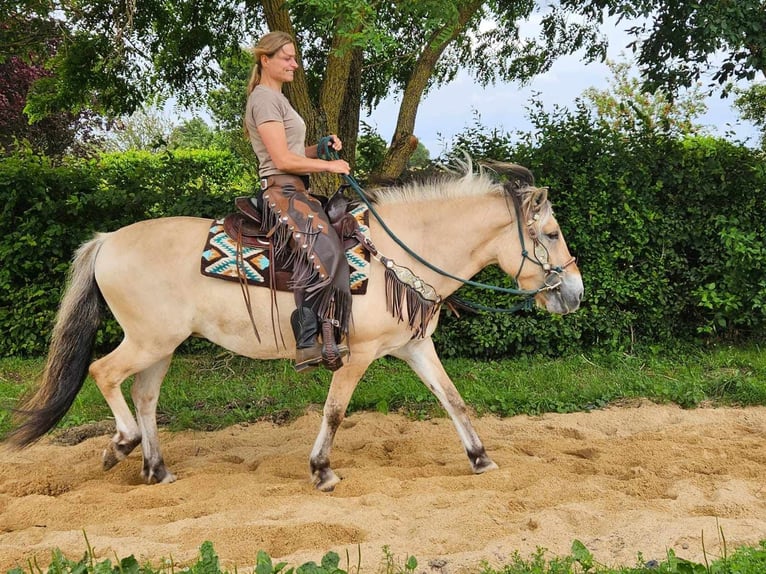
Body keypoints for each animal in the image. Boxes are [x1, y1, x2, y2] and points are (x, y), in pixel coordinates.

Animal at [7, 160, 584, 492]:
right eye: (552, 233)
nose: (575, 293)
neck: (394, 255)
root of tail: (107, 240)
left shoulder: (415, 346)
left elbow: (454, 400)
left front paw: (480, 458)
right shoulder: (356, 353)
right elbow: (334, 411)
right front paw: (321, 470)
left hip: (162, 345)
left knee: (145, 397)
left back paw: (156, 468)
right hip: (149, 340)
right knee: (104, 374)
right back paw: (121, 446)